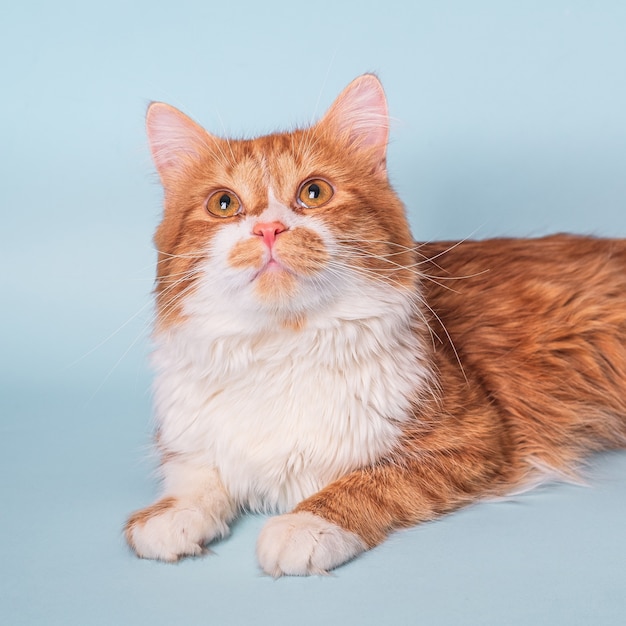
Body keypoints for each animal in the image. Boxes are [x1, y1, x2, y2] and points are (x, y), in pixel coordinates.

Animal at [123, 70, 624, 572]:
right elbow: (197, 477)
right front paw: (169, 515)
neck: (280, 345)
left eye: (314, 193)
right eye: (223, 204)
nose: (269, 230)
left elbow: (370, 482)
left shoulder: (476, 438)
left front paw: (305, 525)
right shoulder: (189, 438)